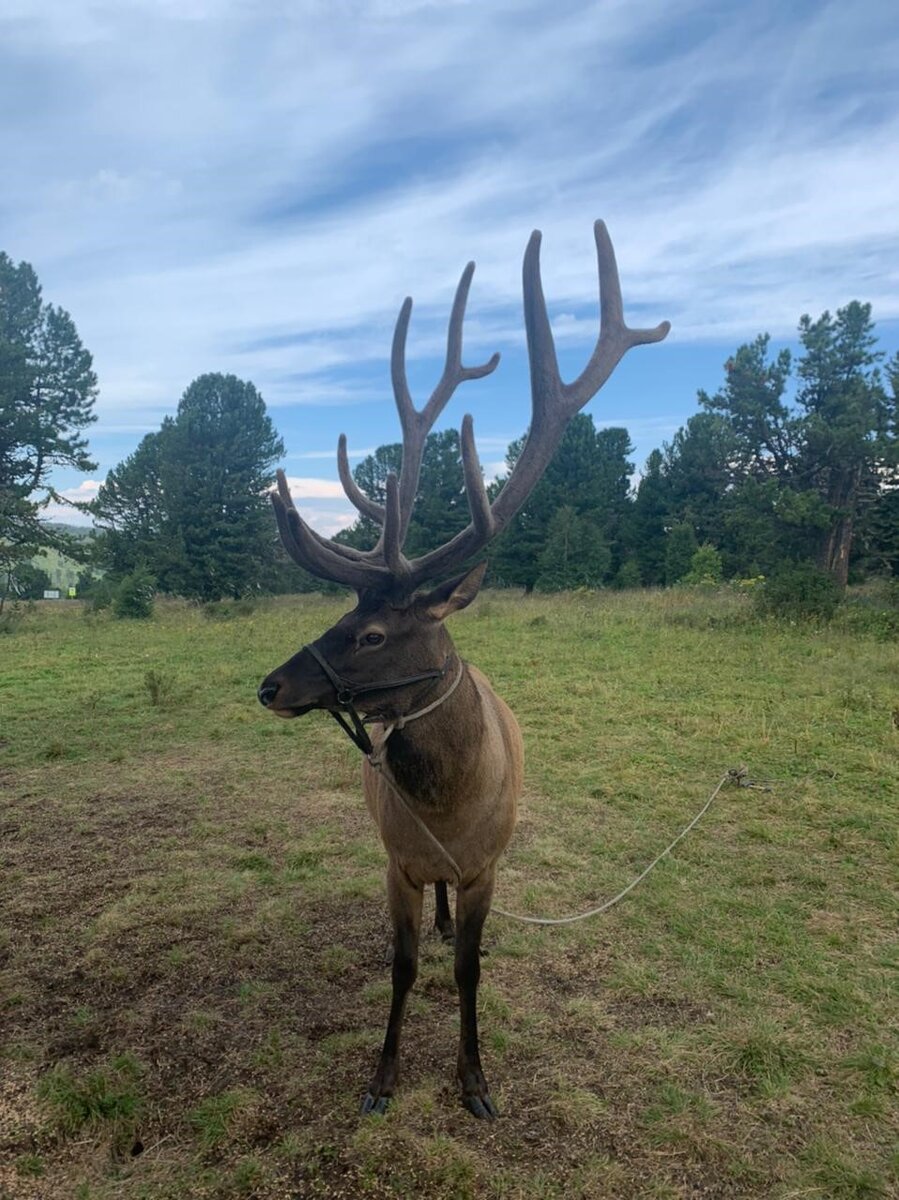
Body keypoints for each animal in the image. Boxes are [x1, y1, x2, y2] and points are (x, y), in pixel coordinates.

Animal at [258, 223, 667, 1113]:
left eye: (372, 634)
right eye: (342, 617)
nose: (269, 684)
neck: (446, 813)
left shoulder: (486, 867)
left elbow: (470, 970)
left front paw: (474, 1078)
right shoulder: (396, 864)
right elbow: (404, 967)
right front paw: (381, 1078)